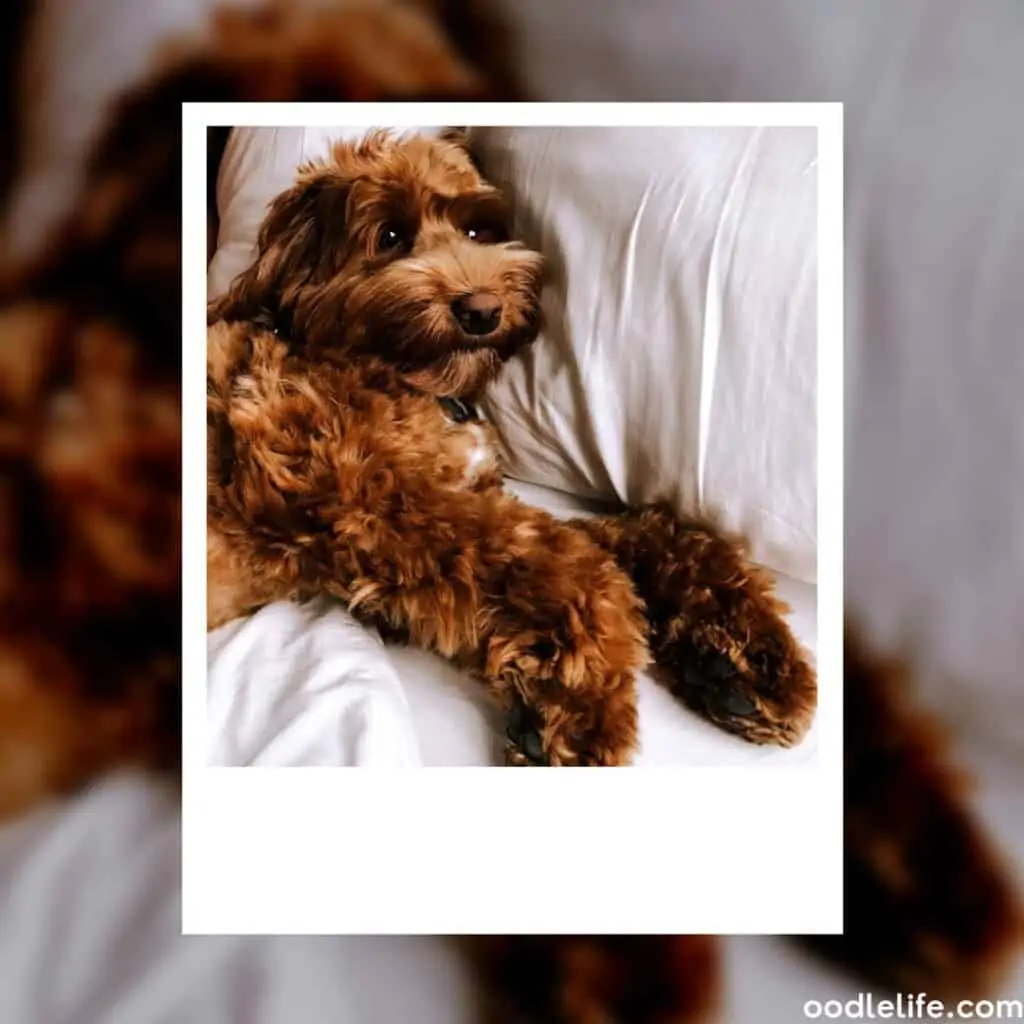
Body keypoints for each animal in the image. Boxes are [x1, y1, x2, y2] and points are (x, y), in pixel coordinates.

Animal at [205, 128, 815, 765]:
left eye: (478, 231)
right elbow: (573, 561)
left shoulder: (427, 520)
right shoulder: (349, 489)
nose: (482, 310)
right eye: (390, 237)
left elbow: (618, 534)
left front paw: (735, 653)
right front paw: (582, 700)